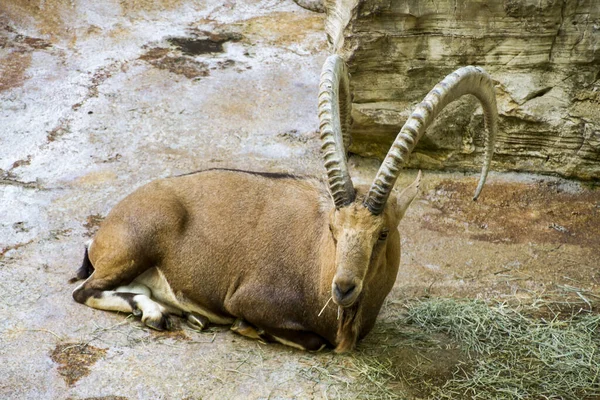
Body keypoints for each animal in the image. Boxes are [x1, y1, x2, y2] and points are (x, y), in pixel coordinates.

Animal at [71, 54, 496, 352]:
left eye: (383, 233)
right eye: (333, 229)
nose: (343, 288)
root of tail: (103, 231)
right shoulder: (247, 299)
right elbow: (308, 340)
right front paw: (249, 329)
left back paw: (181, 314)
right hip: (138, 245)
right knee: (84, 291)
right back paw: (159, 314)